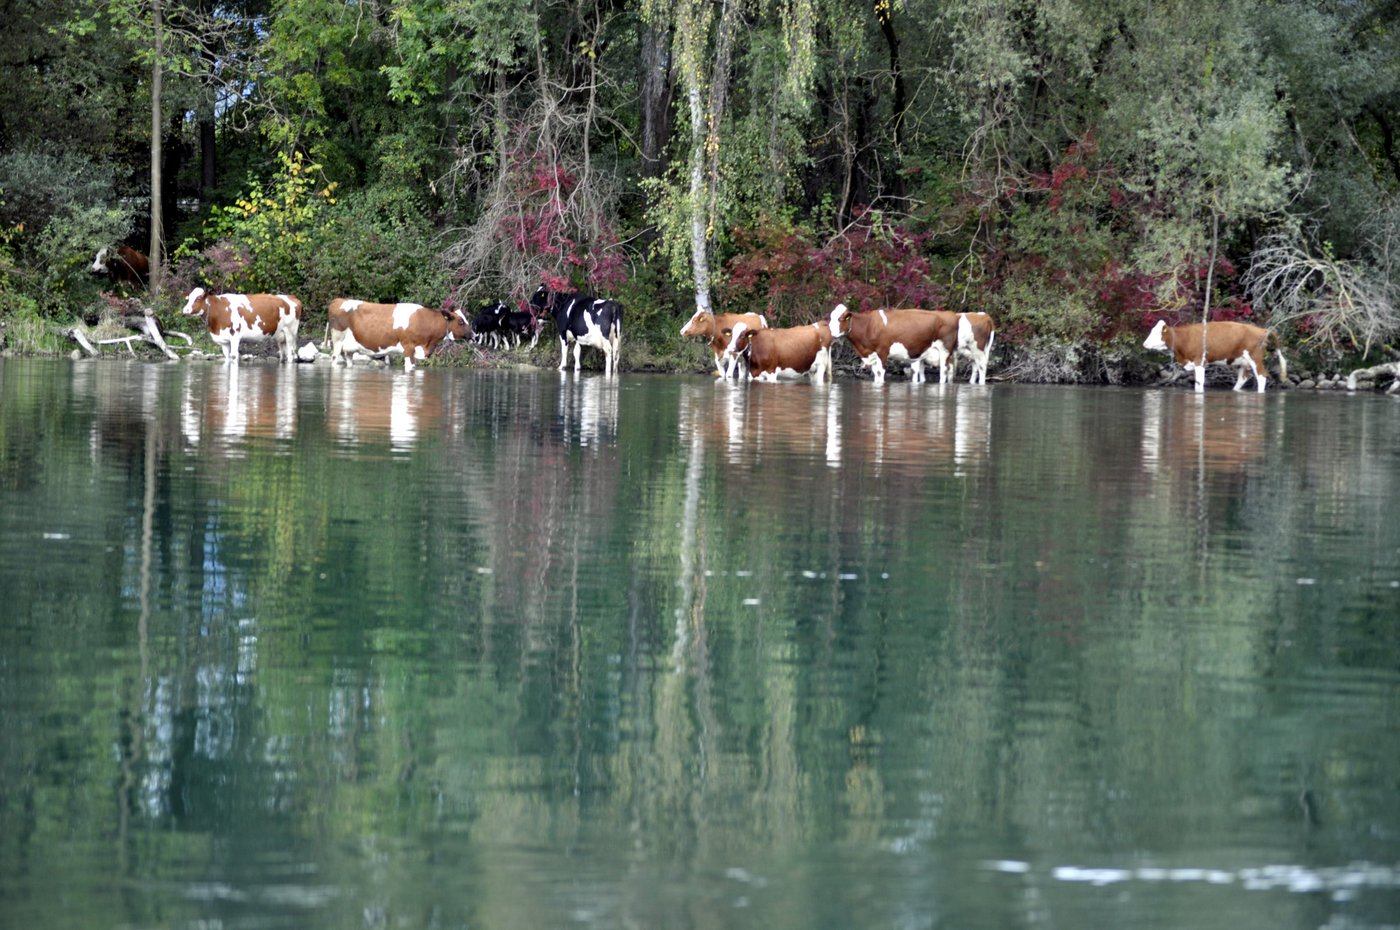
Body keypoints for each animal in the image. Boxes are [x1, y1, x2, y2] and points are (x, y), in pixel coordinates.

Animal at [326, 298, 471, 372]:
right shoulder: (408, 348)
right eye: (461, 321)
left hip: (349, 349)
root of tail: (338, 300)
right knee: (334, 359)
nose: (473, 335)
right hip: (337, 340)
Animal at [827, 304, 960, 384]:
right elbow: (875, 373)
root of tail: (952, 314)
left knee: (943, 370)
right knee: (950, 370)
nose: (830, 332)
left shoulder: (883, 351)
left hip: (944, 351)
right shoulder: (873, 354)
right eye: (830, 317)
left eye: (840, 319)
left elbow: (880, 372)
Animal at [1142, 319, 1287, 392]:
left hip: (1255, 357)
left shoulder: (1200, 361)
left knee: (1261, 377)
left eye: (1157, 333)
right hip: (1241, 361)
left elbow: (1200, 383)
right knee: (1243, 378)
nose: (1144, 343)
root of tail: (1262, 329)